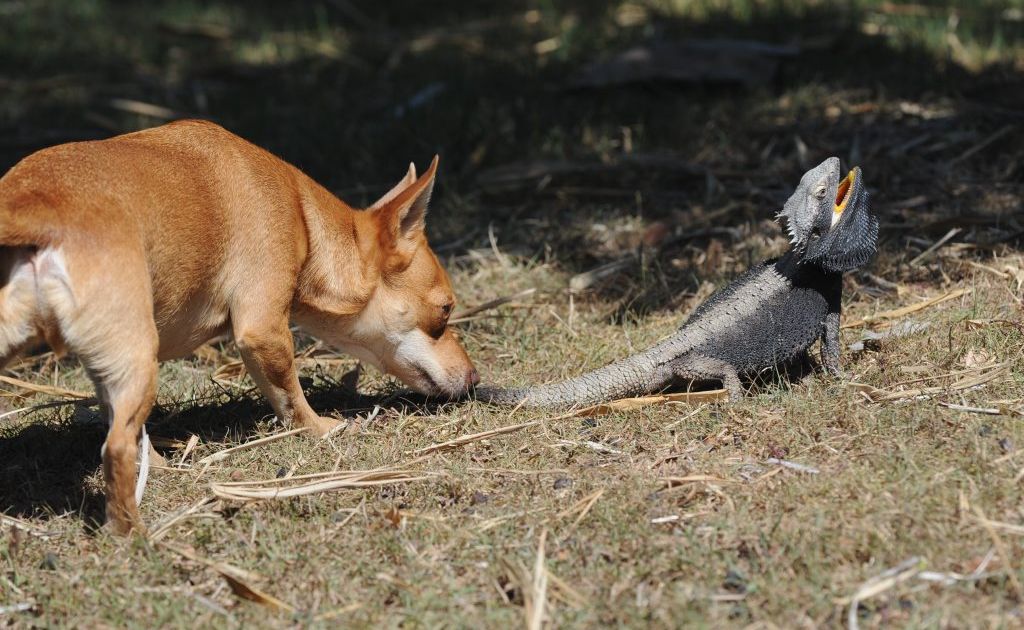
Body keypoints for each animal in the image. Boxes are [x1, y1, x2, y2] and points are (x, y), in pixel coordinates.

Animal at [0, 120, 479, 536]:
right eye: (445, 312)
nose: (475, 377)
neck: (305, 219)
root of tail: (29, 207)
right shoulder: (262, 331)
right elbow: (289, 396)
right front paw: (323, 428)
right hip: (138, 358)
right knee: (116, 448)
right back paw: (133, 532)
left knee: (124, 432)